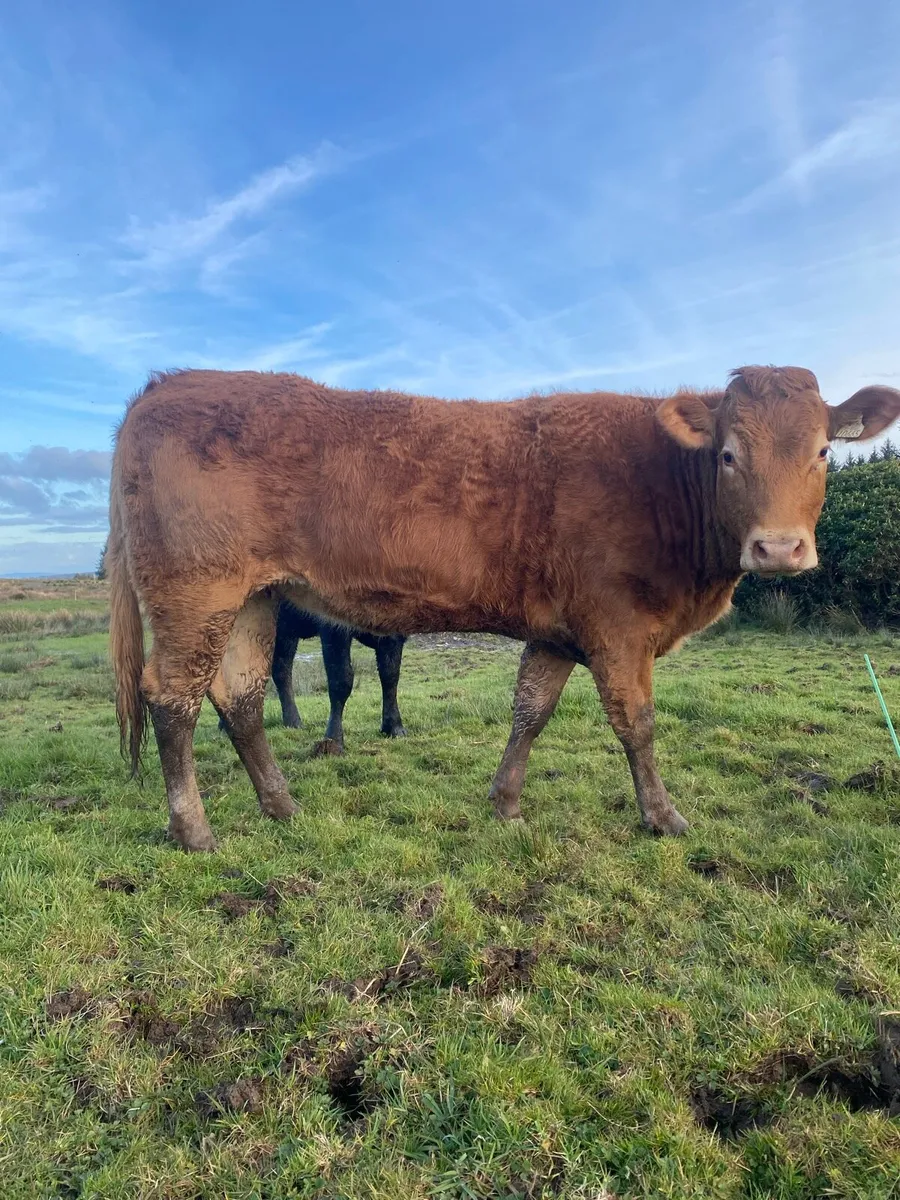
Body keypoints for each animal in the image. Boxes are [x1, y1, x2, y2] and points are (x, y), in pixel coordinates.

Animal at [107, 366, 900, 851]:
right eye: (730, 454)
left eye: (823, 451)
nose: (779, 548)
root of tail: (164, 386)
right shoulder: (617, 628)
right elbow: (637, 725)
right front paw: (663, 815)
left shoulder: (558, 632)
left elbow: (530, 711)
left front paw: (506, 802)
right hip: (194, 591)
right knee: (171, 698)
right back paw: (194, 831)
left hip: (252, 599)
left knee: (237, 695)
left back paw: (282, 805)